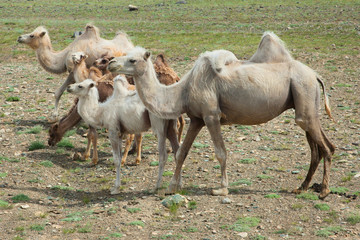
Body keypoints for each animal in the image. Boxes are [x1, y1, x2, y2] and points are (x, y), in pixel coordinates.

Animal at [107, 33, 334, 199]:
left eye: (132, 59)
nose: (110, 63)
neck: (183, 91)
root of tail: (315, 75)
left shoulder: (211, 115)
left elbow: (221, 152)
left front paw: (222, 188)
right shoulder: (197, 119)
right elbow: (181, 153)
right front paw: (171, 187)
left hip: (303, 93)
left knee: (325, 147)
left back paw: (324, 190)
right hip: (306, 102)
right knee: (320, 146)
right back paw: (302, 187)